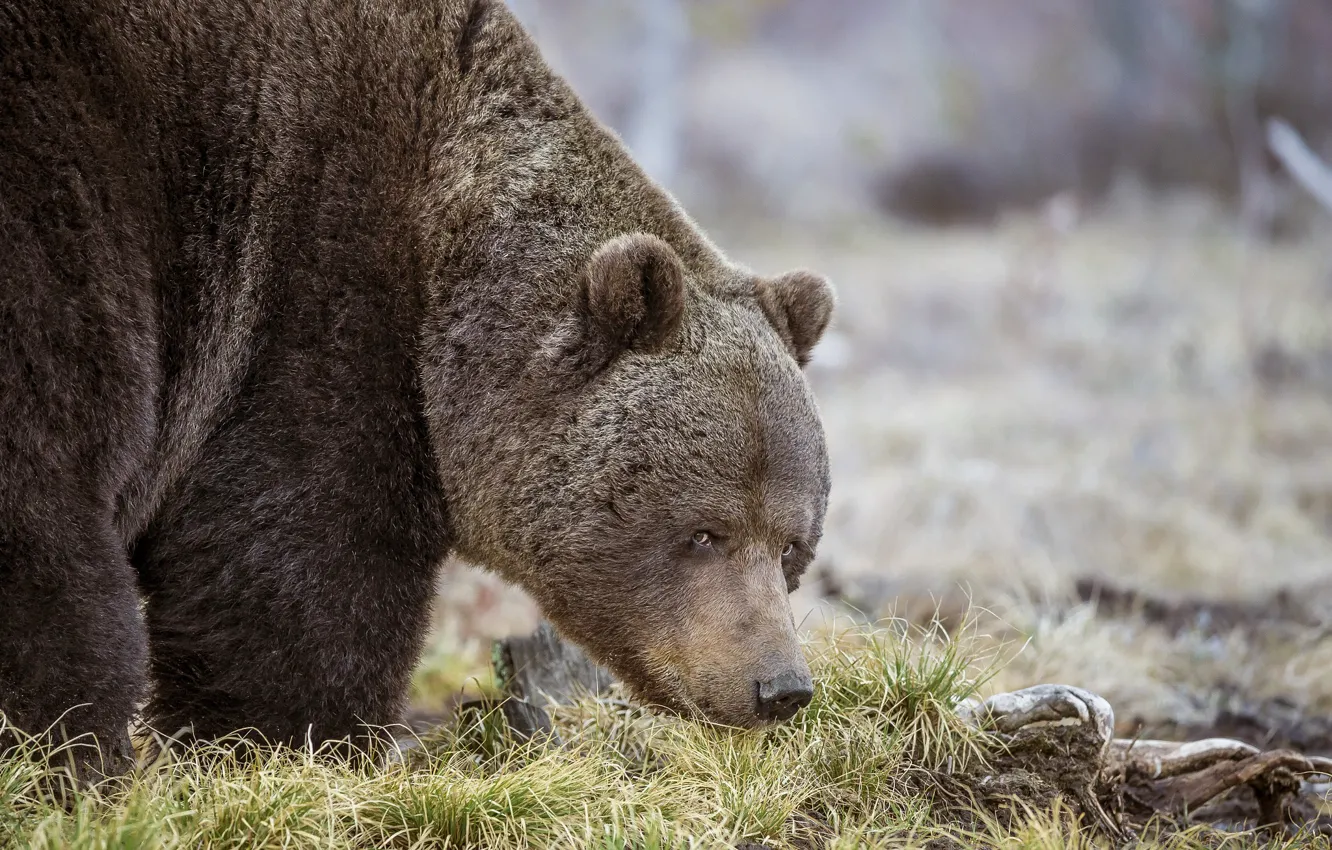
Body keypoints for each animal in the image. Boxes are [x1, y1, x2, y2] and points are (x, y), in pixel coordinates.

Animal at [0, 0, 835, 782]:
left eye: (792, 544)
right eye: (703, 532)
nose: (780, 687)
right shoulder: (311, 306)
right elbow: (291, 573)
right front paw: (289, 749)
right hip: (66, 212)